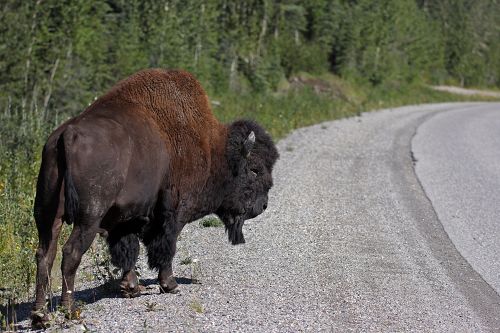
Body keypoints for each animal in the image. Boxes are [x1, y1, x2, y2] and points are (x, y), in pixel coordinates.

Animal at [31, 68, 280, 326]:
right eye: (254, 169)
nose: (263, 205)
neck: (214, 150)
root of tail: (68, 134)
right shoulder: (174, 214)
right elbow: (164, 247)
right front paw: (170, 285)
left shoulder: (125, 218)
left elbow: (127, 250)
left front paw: (131, 288)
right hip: (88, 218)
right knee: (70, 253)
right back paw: (69, 310)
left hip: (47, 216)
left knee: (44, 255)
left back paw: (40, 316)